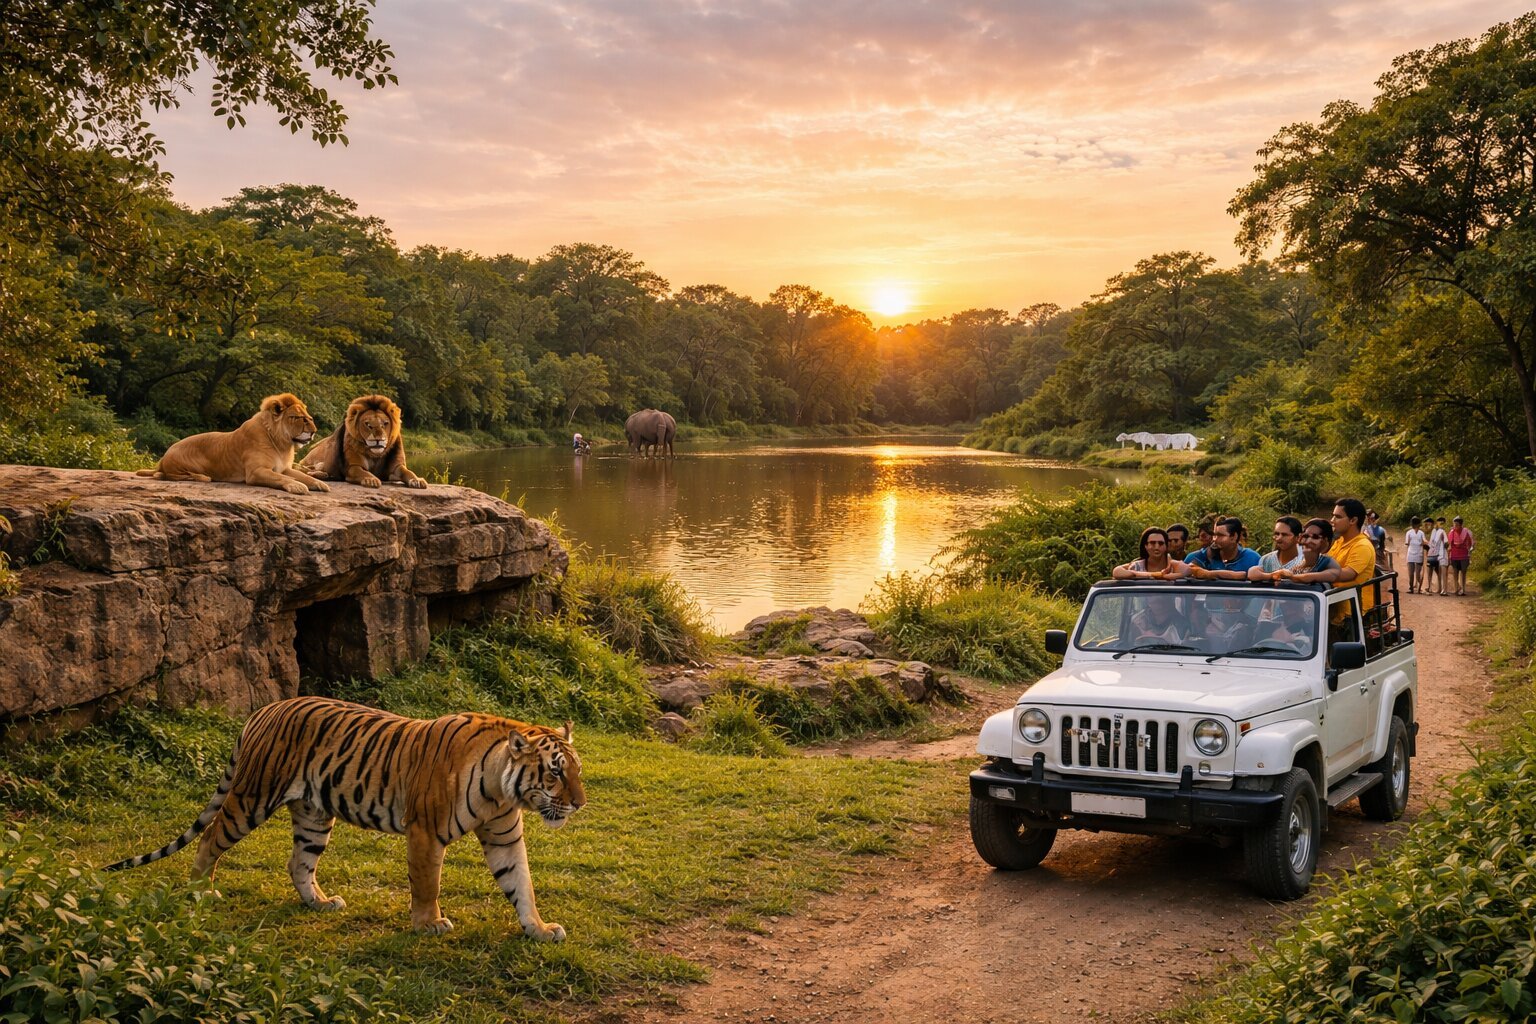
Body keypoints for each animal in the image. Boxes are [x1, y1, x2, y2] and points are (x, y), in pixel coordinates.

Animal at [103, 696, 585, 941]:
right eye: (555, 771)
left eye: (577, 770)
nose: (579, 804)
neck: (502, 790)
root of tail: (265, 708)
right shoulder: (425, 832)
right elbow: (427, 883)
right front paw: (428, 924)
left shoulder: (504, 837)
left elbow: (521, 884)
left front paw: (540, 929)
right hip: (252, 797)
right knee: (210, 839)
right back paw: (201, 891)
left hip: (314, 815)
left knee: (298, 862)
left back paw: (319, 902)